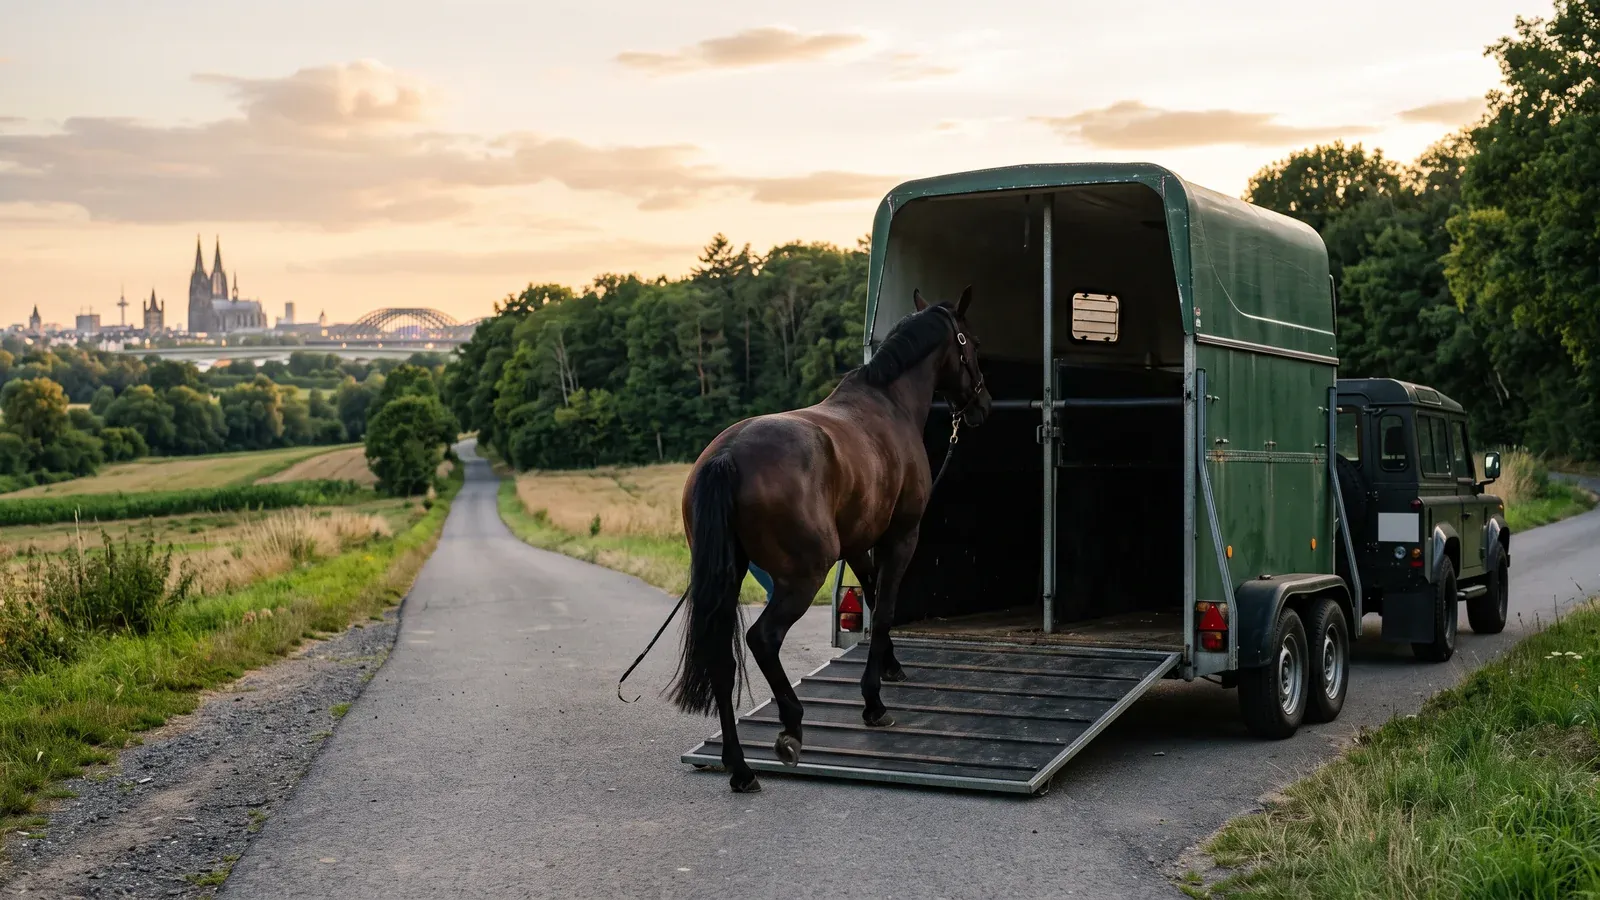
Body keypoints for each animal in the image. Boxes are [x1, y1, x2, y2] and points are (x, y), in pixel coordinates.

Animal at [668, 286, 991, 793]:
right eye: (972, 344)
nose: (983, 406)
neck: (888, 403)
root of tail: (727, 457)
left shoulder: (859, 542)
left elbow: (873, 597)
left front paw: (891, 668)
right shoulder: (901, 536)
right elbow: (885, 609)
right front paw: (874, 704)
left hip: (729, 577)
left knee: (723, 658)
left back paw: (740, 768)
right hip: (802, 577)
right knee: (763, 638)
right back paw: (791, 726)